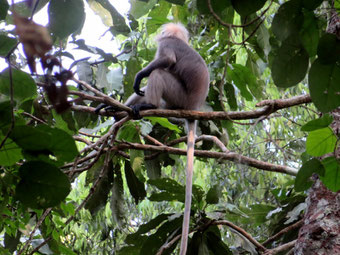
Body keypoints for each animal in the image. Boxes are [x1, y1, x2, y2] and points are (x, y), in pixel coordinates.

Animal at [126, 22, 209, 254]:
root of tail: (194, 108)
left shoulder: (167, 44)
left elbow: (168, 61)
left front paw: (139, 75)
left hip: (178, 97)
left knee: (159, 73)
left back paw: (149, 104)